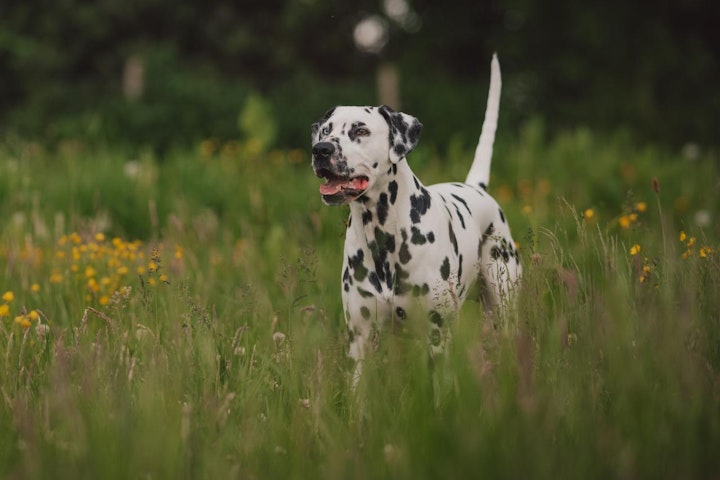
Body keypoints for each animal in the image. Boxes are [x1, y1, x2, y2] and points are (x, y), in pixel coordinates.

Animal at [312, 54, 520, 380]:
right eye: (325, 130)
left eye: (360, 130)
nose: (320, 150)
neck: (383, 235)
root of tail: (476, 187)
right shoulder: (360, 341)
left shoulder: (437, 334)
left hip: (503, 304)